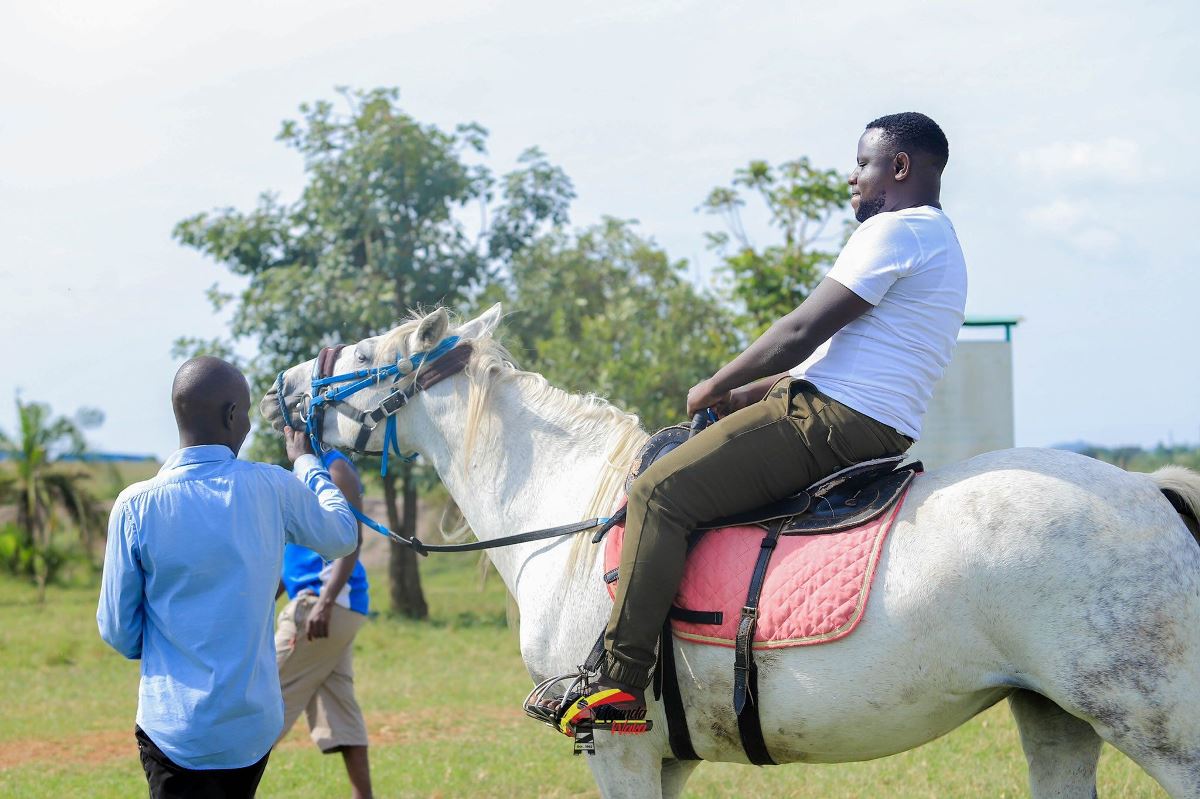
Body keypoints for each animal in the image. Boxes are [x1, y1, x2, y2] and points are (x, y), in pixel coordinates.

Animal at [265, 304, 1200, 796]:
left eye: (366, 353)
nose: (279, 388)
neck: (570, 508)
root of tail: (1154, 489)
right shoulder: (669, 758)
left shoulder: (622, 750)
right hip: (1056, 718)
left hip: (1156, 725)